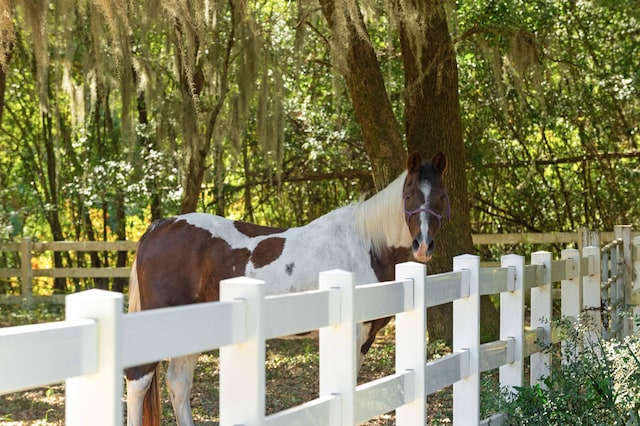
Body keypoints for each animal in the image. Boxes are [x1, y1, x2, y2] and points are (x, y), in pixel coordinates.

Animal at [124, 151, 444, 424]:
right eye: (409, 195)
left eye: (442, 196)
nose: (424, 245)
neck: (366, 244)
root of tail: (159, 227)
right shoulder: (352, 332)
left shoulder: (366, 337)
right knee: (139, 380)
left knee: (178, 383)